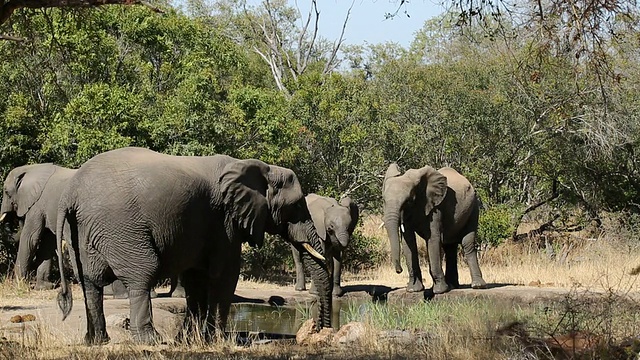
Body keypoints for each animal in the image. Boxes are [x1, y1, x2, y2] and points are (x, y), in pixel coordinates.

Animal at [55, 147, 332, 346]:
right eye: (297, 205)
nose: (319, 331)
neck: (259, 168)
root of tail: (70, 192)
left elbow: (196, 279)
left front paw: (190, 340)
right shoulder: (224, 221)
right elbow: (225, 274)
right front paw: (217, 340)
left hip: (81, 231)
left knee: (90, 282)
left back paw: (95, 341)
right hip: (120, 228)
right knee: (141, 275)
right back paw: (151, 341)